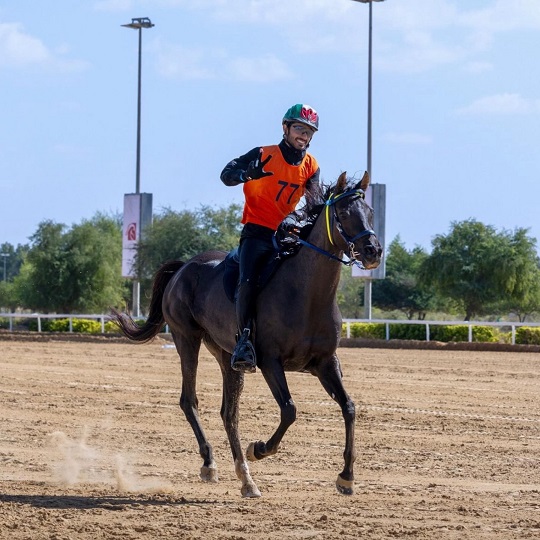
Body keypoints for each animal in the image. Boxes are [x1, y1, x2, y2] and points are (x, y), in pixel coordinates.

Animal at [110, 171, 382, 498]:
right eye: (343, 213)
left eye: (370, 212)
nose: (373, 251)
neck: (307, 294)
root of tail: (184, 267)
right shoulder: (270, 362)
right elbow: (290, 410)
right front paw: (260, 448)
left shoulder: (325, 364)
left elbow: (349, 407)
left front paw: (346, 476)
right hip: (186, 338)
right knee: (190, 401)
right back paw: (211, 463)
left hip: (226, 355)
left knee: (229, 413)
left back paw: (246, 478)